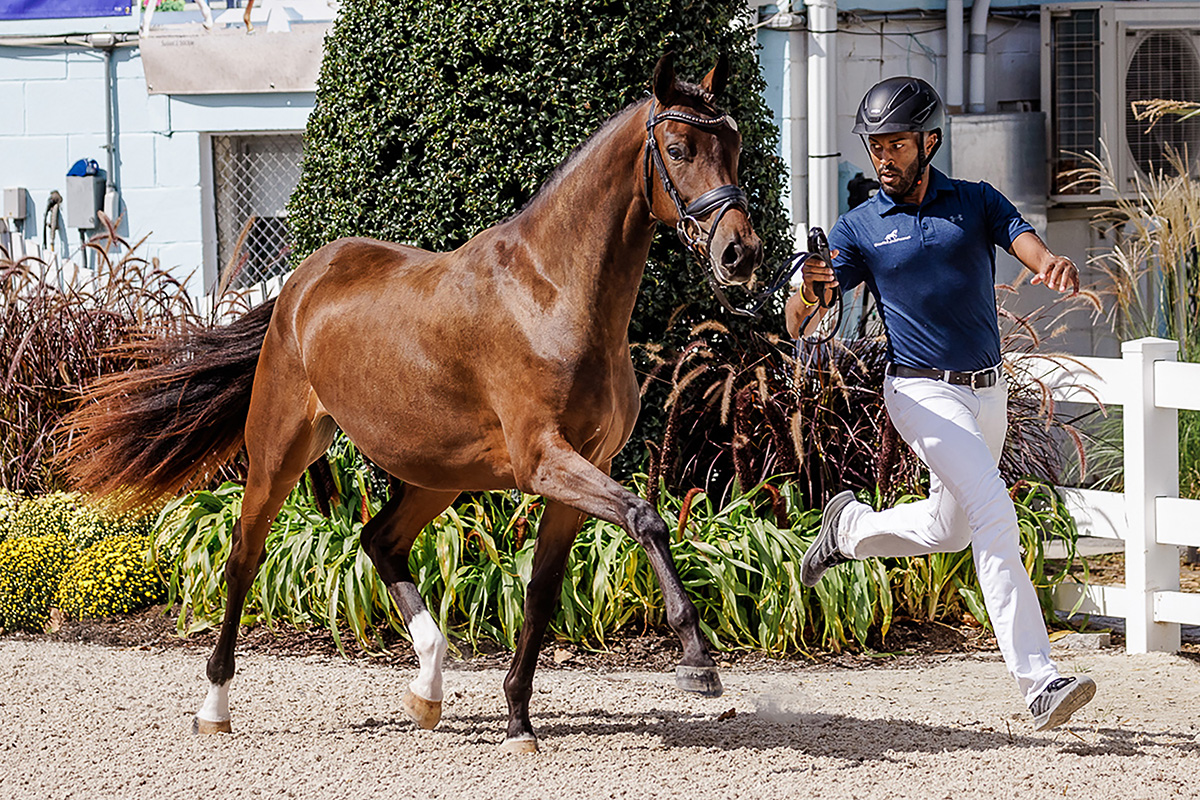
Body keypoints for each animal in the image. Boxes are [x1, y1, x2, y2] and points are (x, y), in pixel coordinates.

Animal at [63, 53, 758, 753]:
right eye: (678, 148)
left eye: (734, 146)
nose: (741, 253)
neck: (553, 293)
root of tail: (298, 285)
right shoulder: (545, 460)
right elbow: (646, 518)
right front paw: (698, 660)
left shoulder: (585, 468)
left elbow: (541, 594)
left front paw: (518, 721)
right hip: (279, 454)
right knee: (244, 558)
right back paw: (215, 705)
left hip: (438, 474)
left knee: (379, 540)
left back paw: (427, 688)